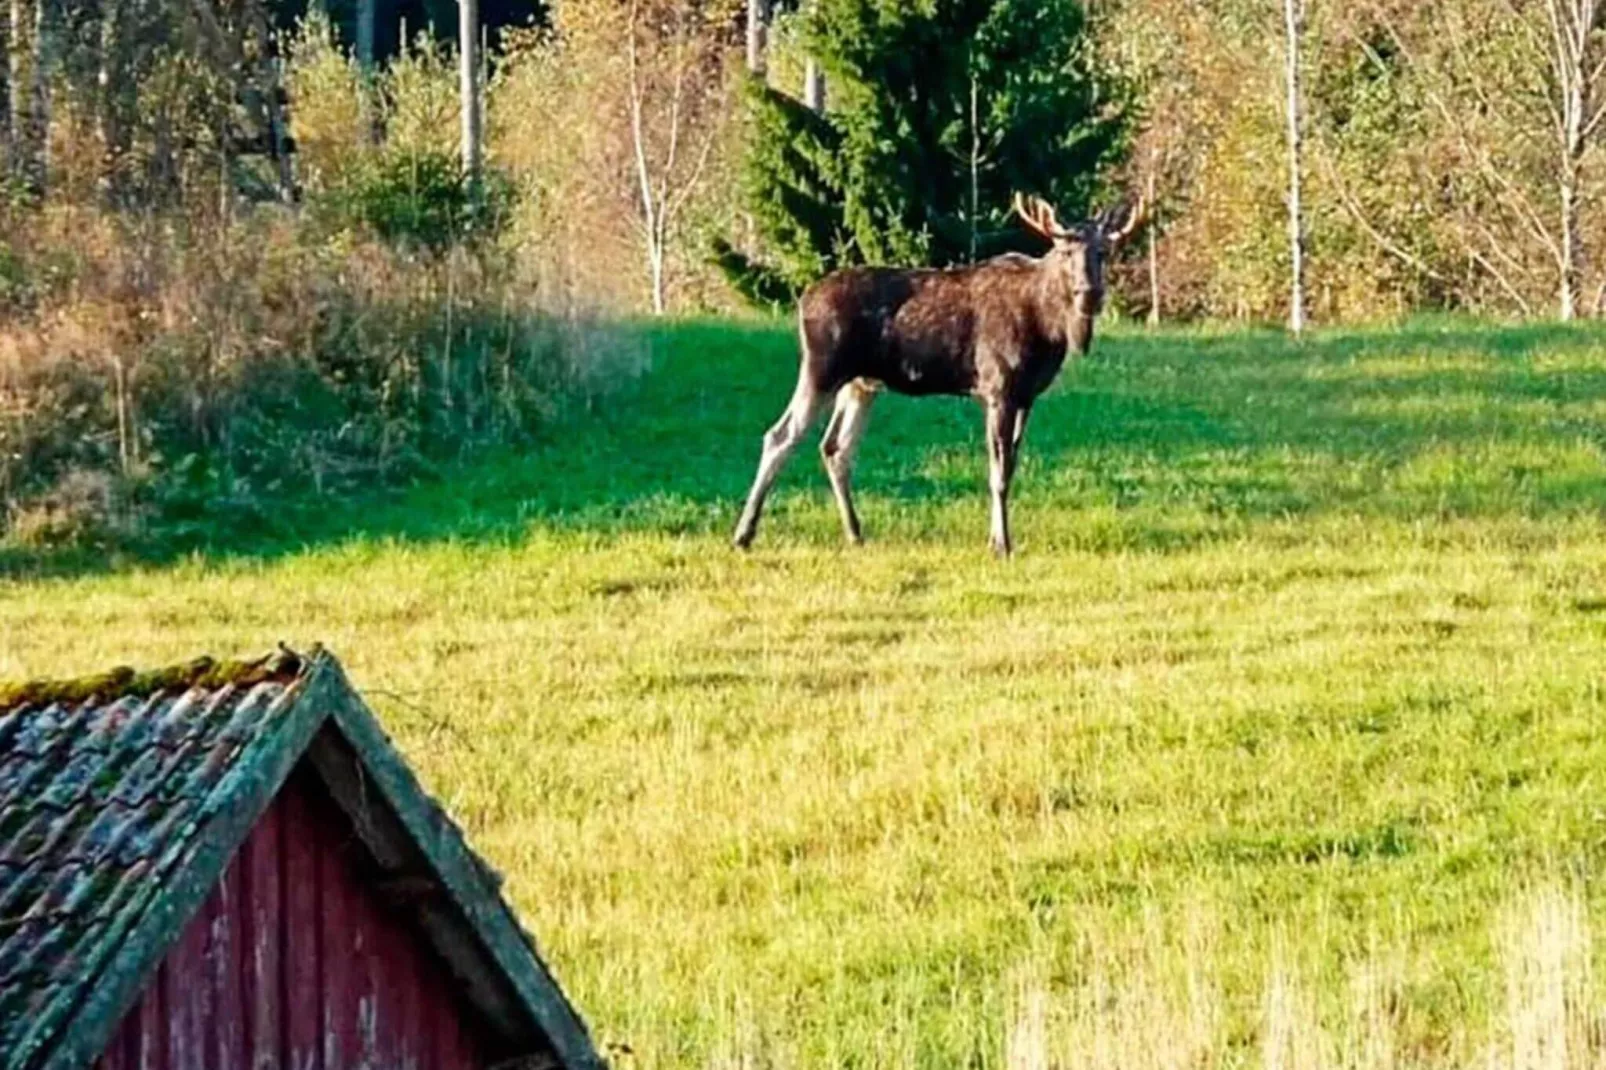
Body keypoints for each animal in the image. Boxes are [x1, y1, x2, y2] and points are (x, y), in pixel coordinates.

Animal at [729, 191, 1143, 552]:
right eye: (1065, 251)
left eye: (1104, 252)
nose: (1090, 293)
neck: (1048, 329)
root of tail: (803, 300)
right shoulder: (997, 387)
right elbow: (997, 472)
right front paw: (1001, 544)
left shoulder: (1027, 396)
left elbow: (1009, 468)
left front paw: (996, 538)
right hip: (822, 367)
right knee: (780, 435)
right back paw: (743, 534)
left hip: (860, 384)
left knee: (835, 447)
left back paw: (855, 533)